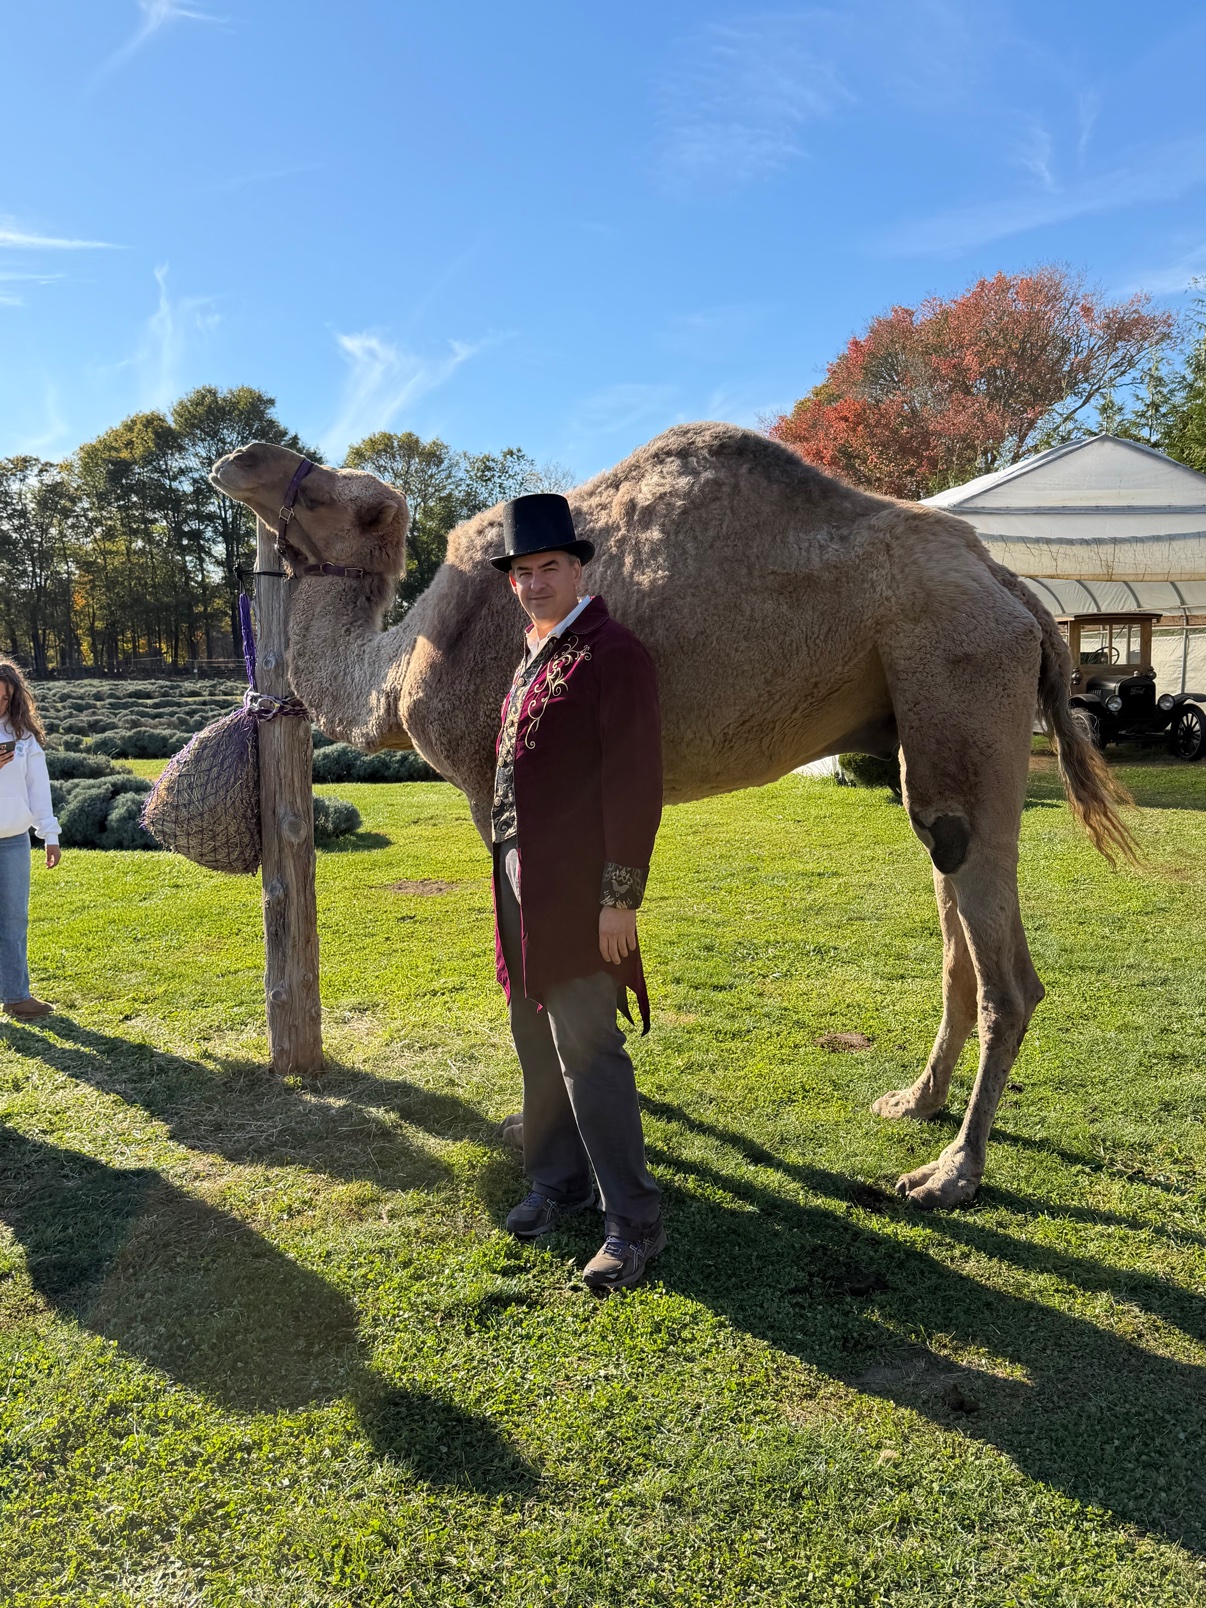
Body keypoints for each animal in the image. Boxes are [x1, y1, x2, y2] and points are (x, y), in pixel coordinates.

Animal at [211, 423, 1133, 1210]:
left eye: (339, 496)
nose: (240, 456)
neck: (400, 667)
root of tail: (1012, 588)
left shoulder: (488, 784)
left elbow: (534, 953)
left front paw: (535, 1128)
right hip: (923, 723)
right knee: (953, 919)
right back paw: (914, 1101)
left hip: (961, 671)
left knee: (1008, 971)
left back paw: (951, 1173)